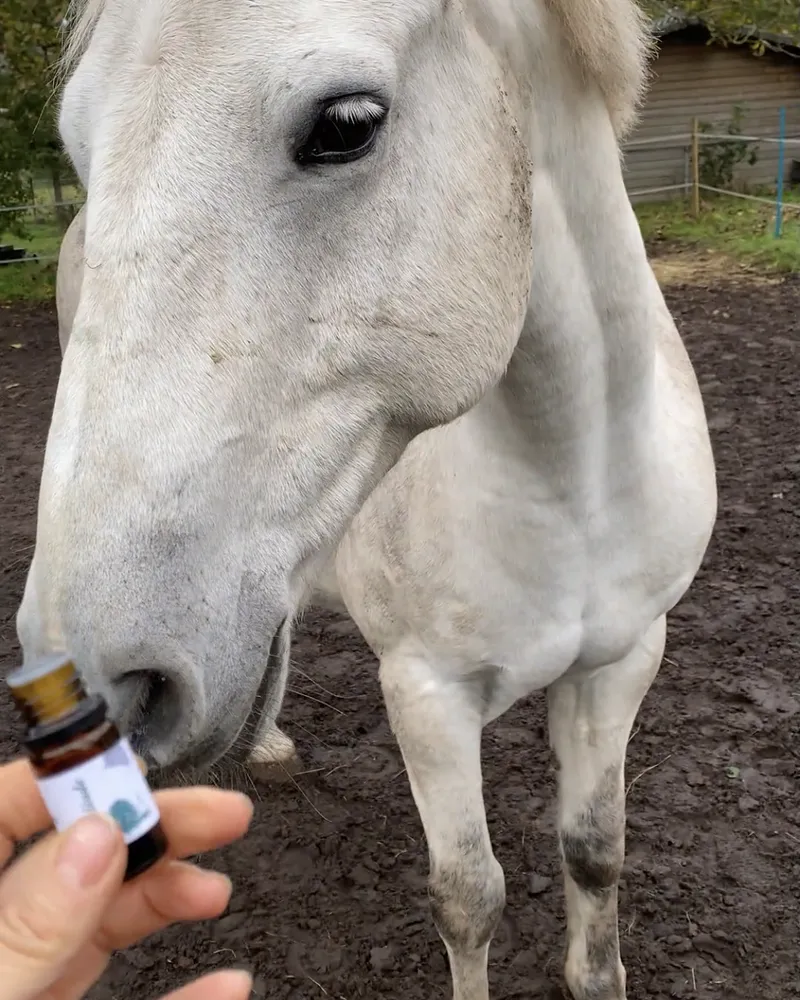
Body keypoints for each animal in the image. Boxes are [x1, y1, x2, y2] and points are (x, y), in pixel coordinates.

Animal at [21, 0, 717, 996]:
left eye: (346, 124)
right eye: (78, 141)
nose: (93, 679)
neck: (572, 486)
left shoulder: (622, 664)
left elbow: (594, 854)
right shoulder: (427, 694)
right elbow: (469, 896)